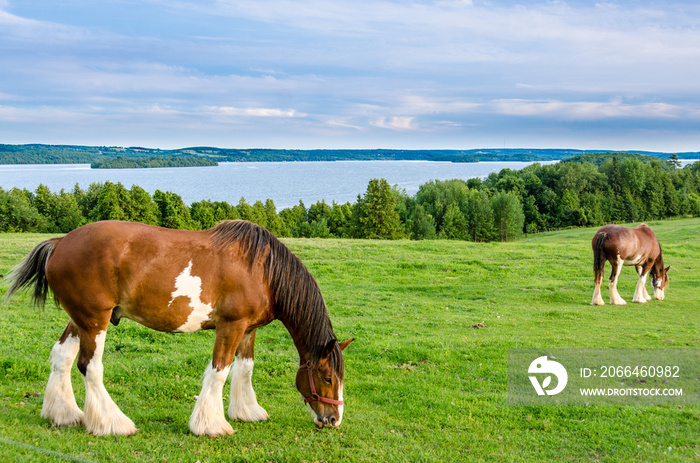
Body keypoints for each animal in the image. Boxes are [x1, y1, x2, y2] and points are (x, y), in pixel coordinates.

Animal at [6, 223, 352, 436]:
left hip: (80, 319)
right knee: (89, 367)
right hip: (94, 320)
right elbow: (220, 371)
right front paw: (211, 425)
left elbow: (245, 369)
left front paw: (246, 411)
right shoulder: (231, 326)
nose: (334, 420)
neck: (263, 270)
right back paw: (113, 423)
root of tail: (59, 243)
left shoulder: (248, 328)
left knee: (61, 357)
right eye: (327, 378)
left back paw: (63, 414)